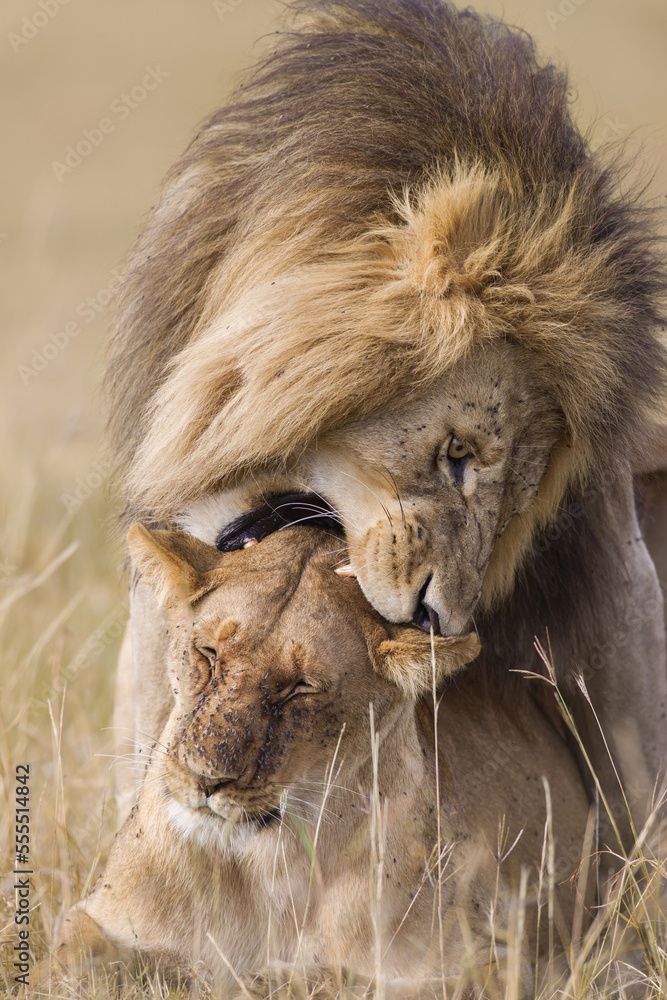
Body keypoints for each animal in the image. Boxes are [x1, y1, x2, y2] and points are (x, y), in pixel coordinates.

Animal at [48, 526, 591, 997]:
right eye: (208, 653)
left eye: (299, 688)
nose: (206, 778)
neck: (257, 871)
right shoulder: (96, 915)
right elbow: (74, 953)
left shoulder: (501, 962)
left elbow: (360, 982)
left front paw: (256, 979)